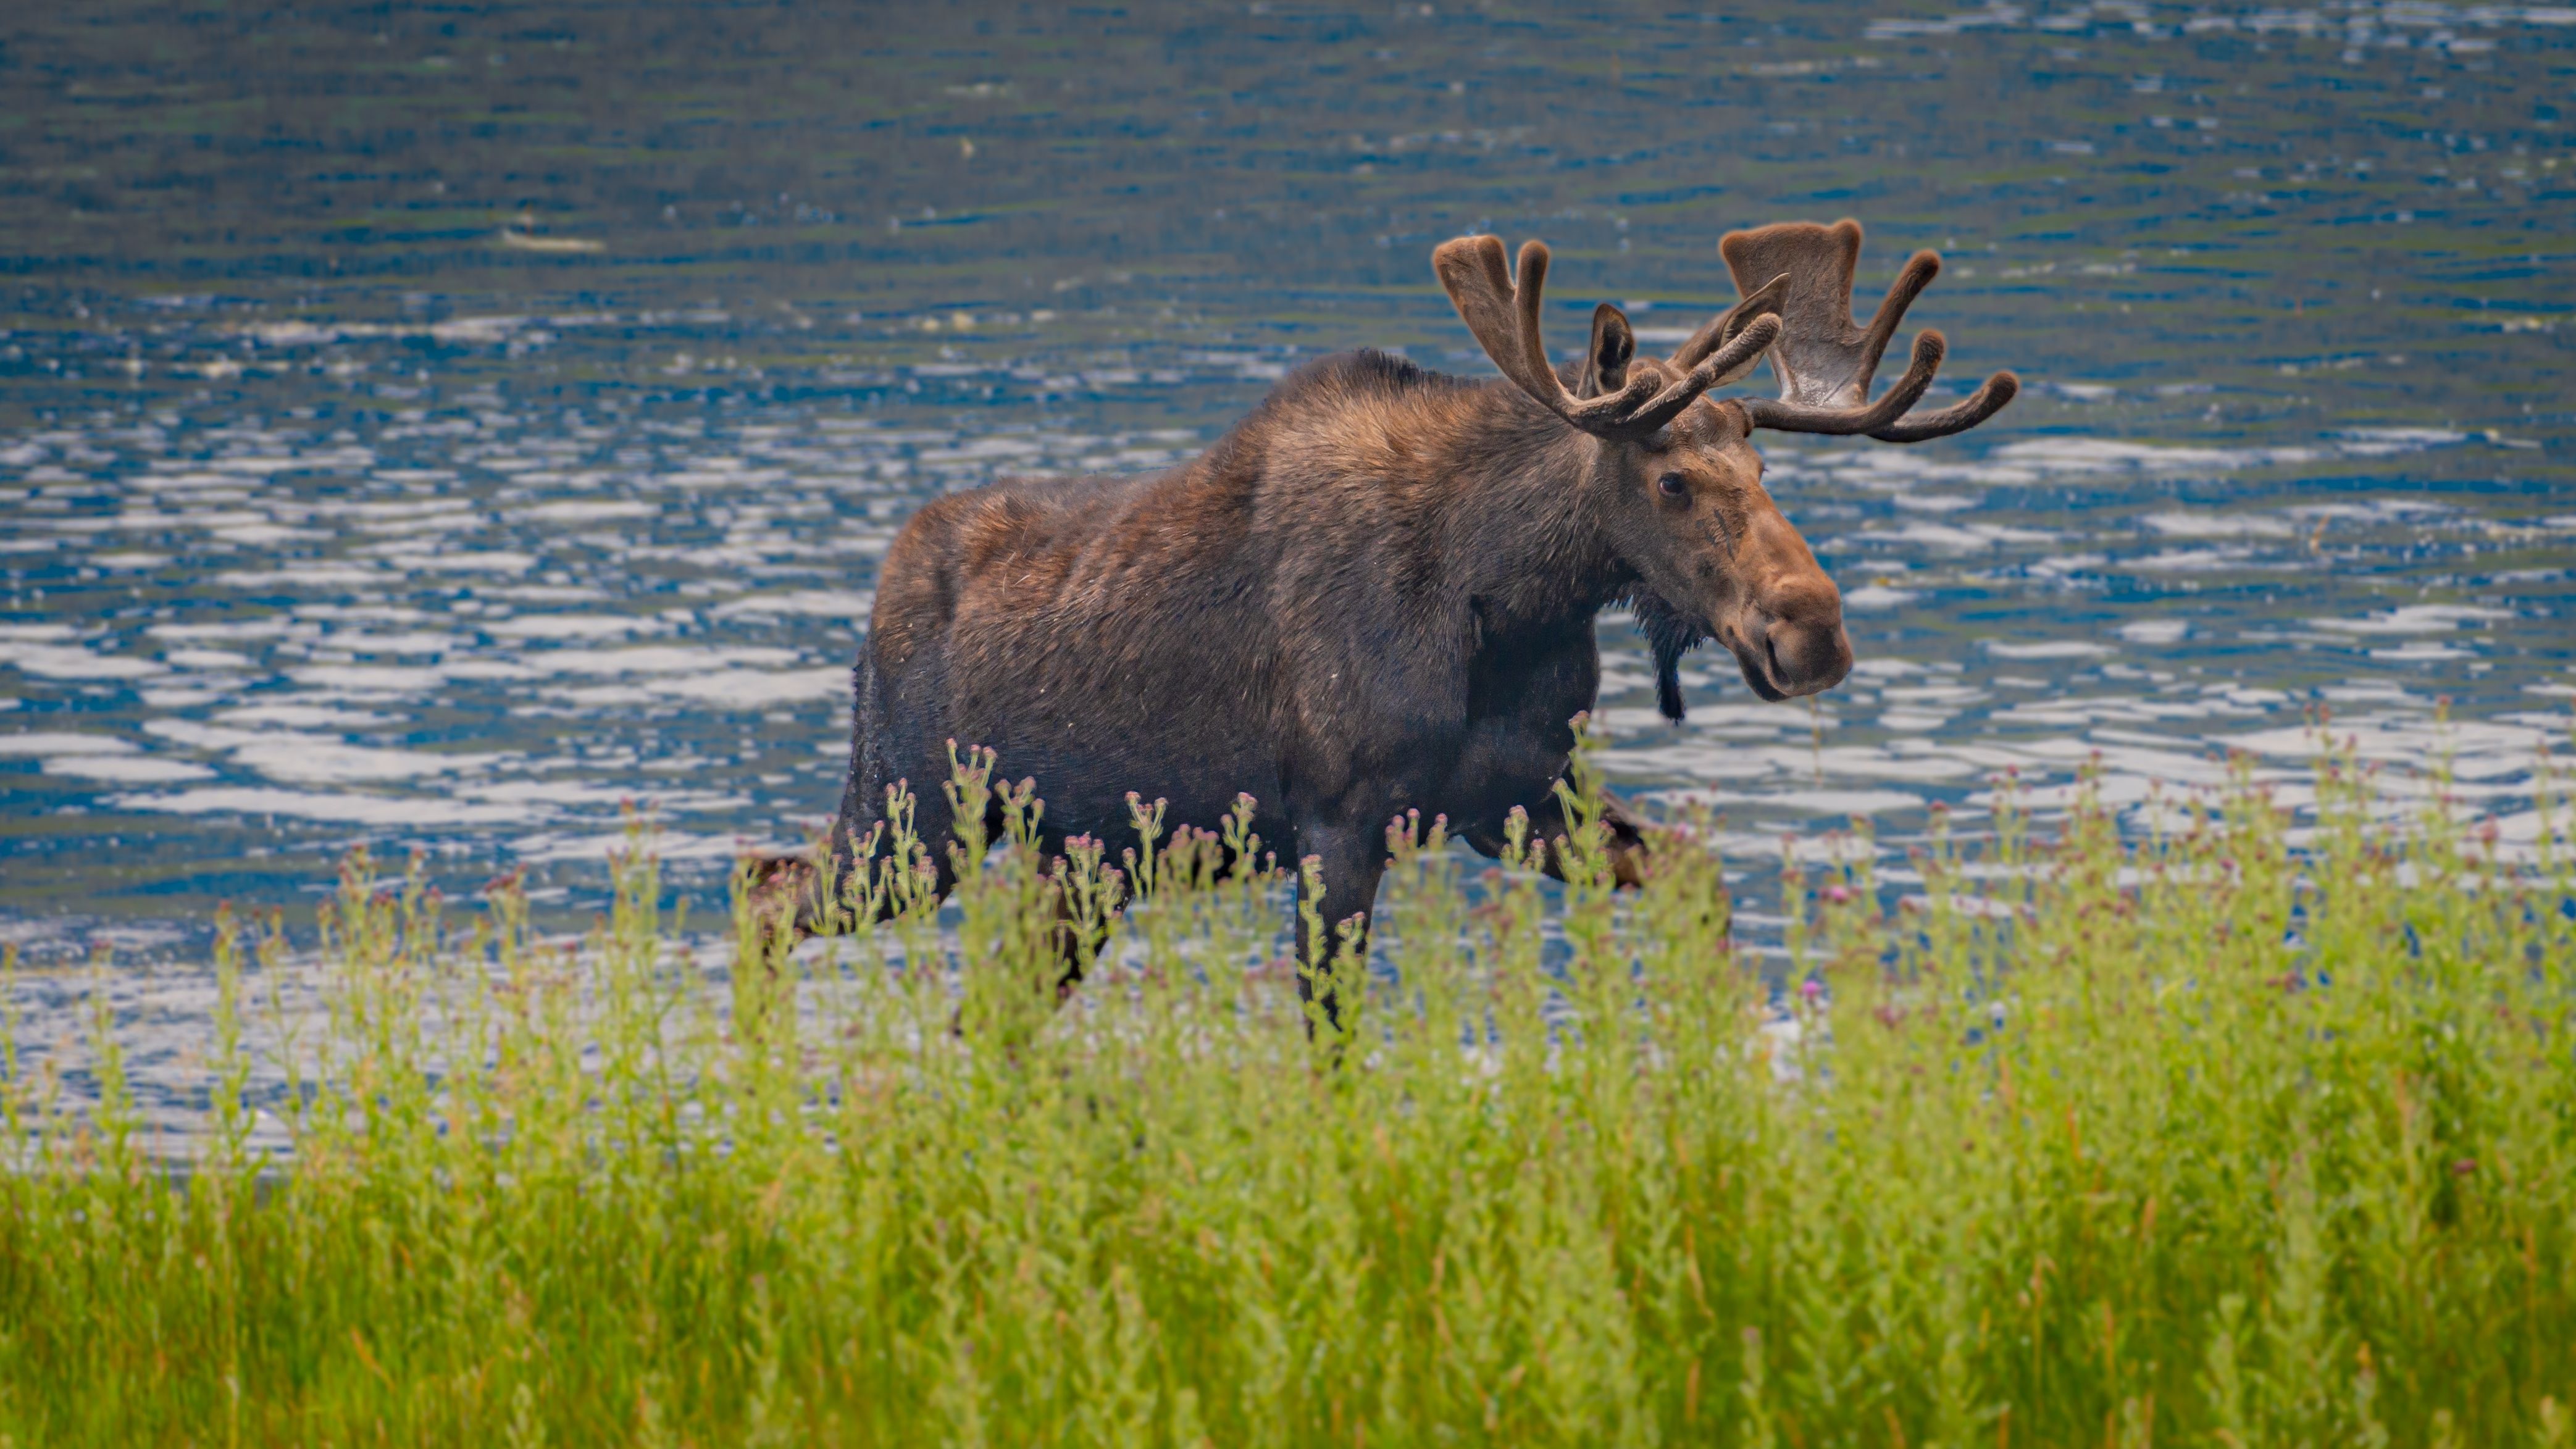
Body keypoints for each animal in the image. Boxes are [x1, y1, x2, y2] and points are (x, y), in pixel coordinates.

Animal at [761, 218, 2017, 1007]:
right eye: (1669, 479)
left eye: (1762, 469)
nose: (1812, 629)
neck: (1509, 601)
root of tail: (879, 597)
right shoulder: (1338, 820)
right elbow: (1333, 1039)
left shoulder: (1522, 798)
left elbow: (1699, 887)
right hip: (904, 823)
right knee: (763, 892)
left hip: (1078, 865)